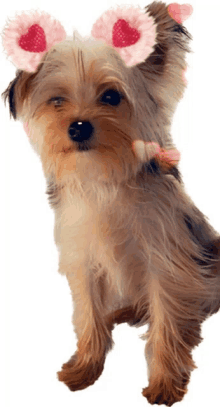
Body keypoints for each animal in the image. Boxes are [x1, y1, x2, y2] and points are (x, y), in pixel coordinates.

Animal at [2, 1, 220, 406]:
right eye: (57, 101)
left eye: (111, 97)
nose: (78, 126)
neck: (103, 175)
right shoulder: (83, 260)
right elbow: (88, 313)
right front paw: (86, 365)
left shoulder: (165, 261)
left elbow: (166, 320)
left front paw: (165, 381)